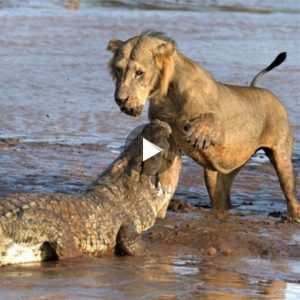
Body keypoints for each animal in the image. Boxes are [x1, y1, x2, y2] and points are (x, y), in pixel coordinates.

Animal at [106, 31, 298, 223]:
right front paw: (158, 215)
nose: (120, 99)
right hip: (218, 174)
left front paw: (197, 134)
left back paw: (293, 217)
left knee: (289, 189)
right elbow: (167, 180)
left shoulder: (221, 124)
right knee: (221, 196)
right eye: (118, 69)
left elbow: (211, 117)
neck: (168, 94)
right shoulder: (171, 144)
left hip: (281, 155)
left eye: (139, 73)